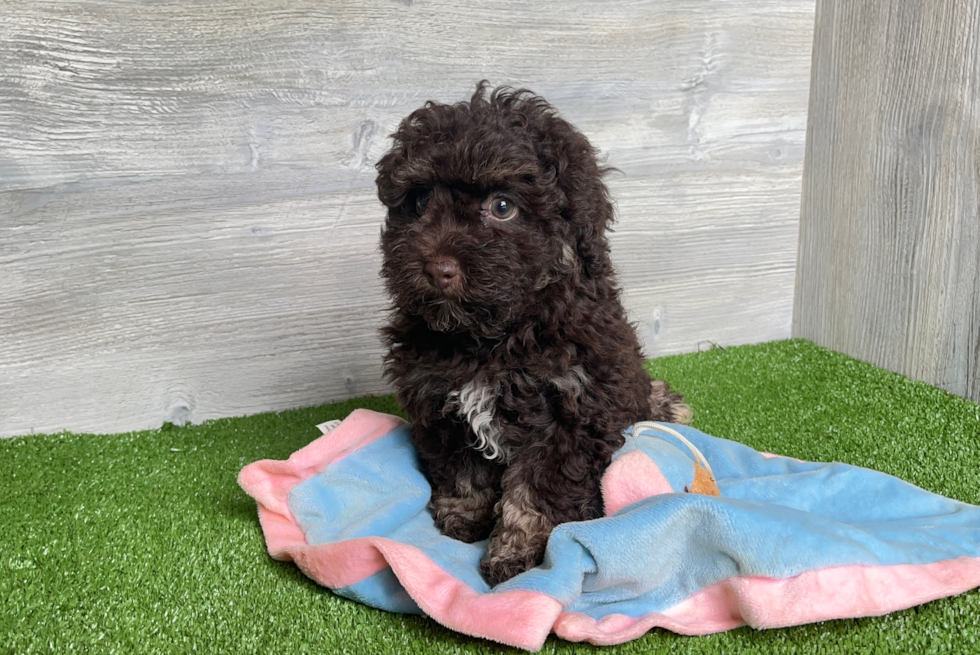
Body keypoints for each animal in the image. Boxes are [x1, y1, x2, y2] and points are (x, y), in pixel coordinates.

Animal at [376, 82, 688, 584]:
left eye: (503, 207)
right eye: (420, 201)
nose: (438, 268)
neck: (492, 336)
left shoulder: (571, 407)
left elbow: (539, 489)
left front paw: (519, 550)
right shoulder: (438, 398)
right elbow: (460, 469)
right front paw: (464, 517)